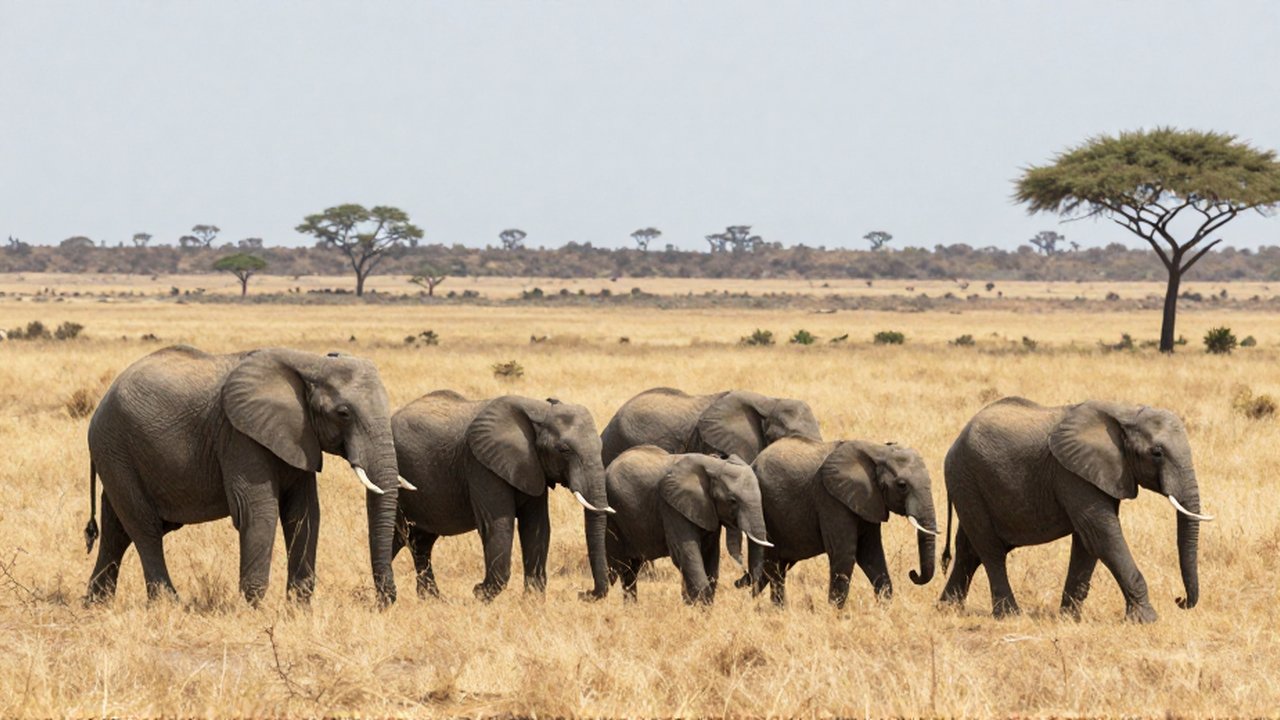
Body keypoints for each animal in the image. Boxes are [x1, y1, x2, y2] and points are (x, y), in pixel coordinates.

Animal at [84, 346, 408, 606]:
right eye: (343, 413)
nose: (384, 602)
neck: (310, 363)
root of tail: (101, 402)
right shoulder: (239, 436)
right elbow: (256, 510)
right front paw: (254, 608)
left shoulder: (300, 437)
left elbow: (304, 513)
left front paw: (299, 608)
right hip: (115, 447)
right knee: (145, 527)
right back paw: (169, 604)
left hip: (119, 454)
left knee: (116, 529)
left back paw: (96, 604)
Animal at [391, 391, 615, 602]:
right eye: (564, 450)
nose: (583, 593)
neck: (540, 410)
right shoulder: (481, 464)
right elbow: (498, 525)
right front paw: (480, 594)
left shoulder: (531, 467)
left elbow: (536, 526)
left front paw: (531, 602)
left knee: (417, 541)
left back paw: (432, 600)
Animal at [603, 446, 772, 603]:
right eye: (732, 501)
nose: (738, 581)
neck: (713, 464)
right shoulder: (671, 507)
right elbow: (685, 553)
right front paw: (700, 607)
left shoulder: (707, 509)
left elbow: (710, 554)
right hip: (614, 519)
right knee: (622, 569)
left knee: (631, 571)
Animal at [744, 436, 938, 607]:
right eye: (902, 485)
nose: (913, 573)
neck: (879, 451)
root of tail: (753, 463)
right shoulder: (831, 499)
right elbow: (844, 554)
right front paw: (835, 614)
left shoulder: (868, 501)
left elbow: (871, 554)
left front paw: (885, 610)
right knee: (771, 566)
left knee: (774, 568)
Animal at [938, 397, 1212, 623]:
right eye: (1156, 453)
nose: (1180, 600)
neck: (1125, 412)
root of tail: (956, 441)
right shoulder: (1071, 474)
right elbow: (1102, 535)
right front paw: (1146, 620)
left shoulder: (1100, 473)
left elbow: (1087, 542)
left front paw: (1070, 619)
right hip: (966, 479)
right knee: (990, 549)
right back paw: (1009, 616)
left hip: (970, 485)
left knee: (969, 550)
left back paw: (947, 609)